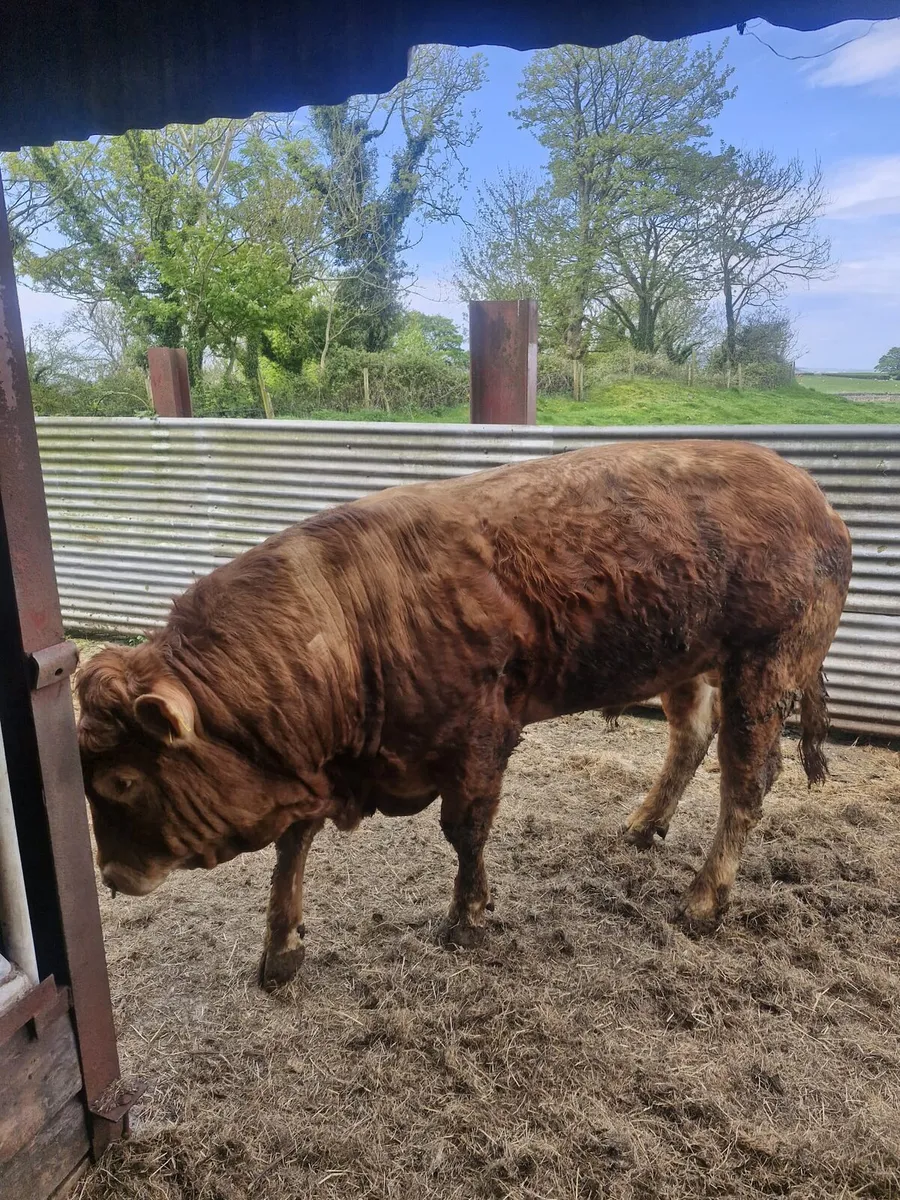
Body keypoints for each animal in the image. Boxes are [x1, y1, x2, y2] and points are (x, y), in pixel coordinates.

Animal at [76, 440, 852, 989]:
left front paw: (465, 917)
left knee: (745, 783)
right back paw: (642, 824)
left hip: (764, 668)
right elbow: (291, 847)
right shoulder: (319, 764)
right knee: (690, 737)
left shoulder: (480, 739)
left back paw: (703, 901)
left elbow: (465, 831)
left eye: (121, 781)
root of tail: (815, 497)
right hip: (685, 661)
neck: (346, 619)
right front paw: (280, 948)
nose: (113, 875)